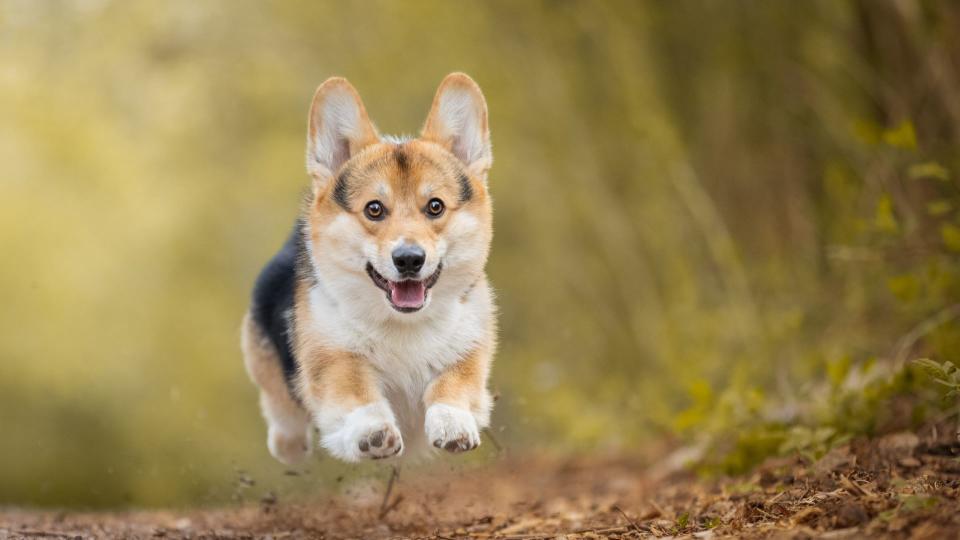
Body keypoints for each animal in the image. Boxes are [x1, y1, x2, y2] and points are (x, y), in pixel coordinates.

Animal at [240, 74, 498, 466]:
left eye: (435, 206)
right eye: (374, 209)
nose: (409, 259)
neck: (404, 325)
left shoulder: (469, 346)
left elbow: (454, 381)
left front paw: (452, 423)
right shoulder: (332, 355)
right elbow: (355, 389)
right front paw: (372, 431)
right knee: (281, 409)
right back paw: (290, 444)